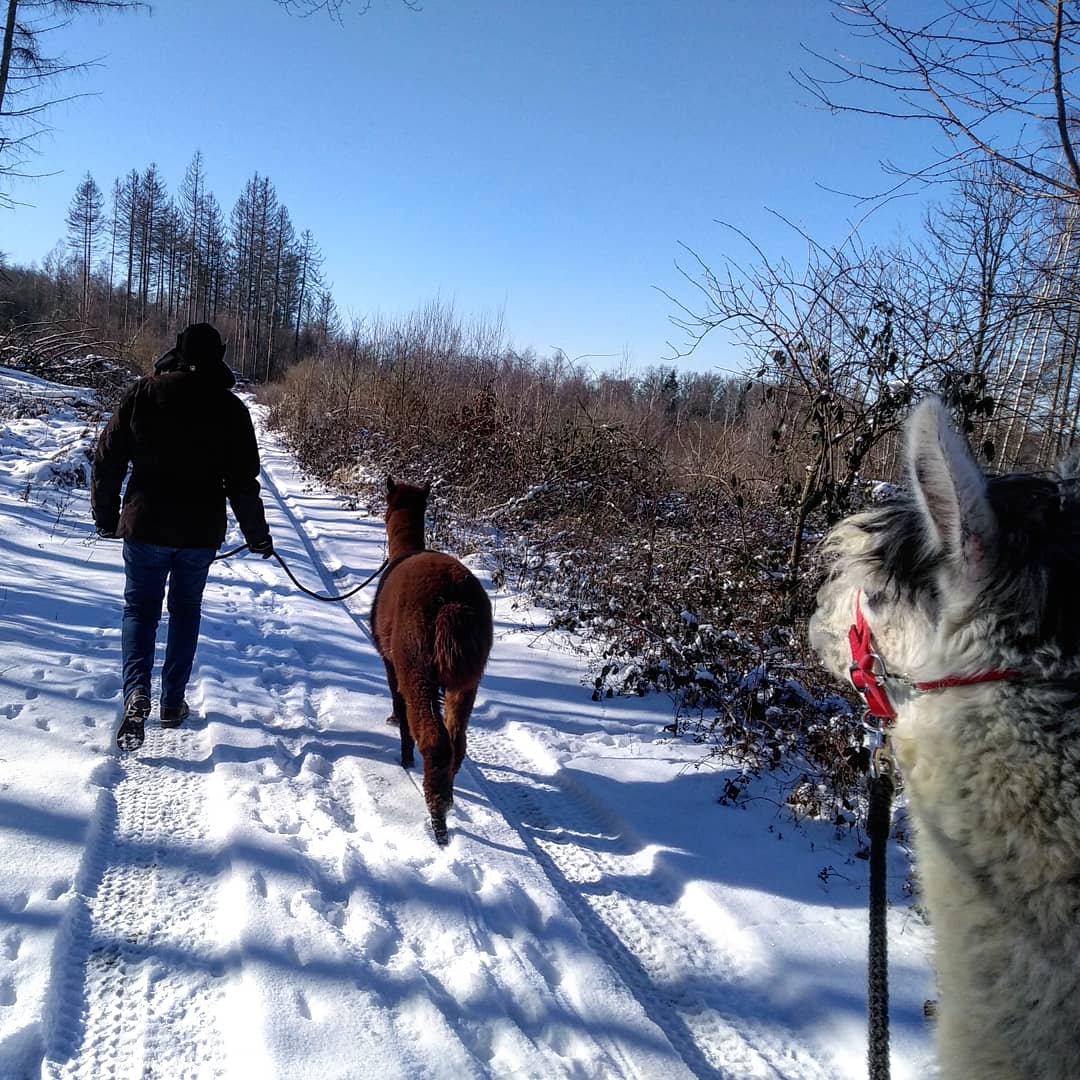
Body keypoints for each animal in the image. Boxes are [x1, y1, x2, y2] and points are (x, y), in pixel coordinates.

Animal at [370, 478, 493, 845]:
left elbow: (398, 702)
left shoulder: (391, 661)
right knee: (457, 741)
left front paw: (402, 748)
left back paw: (438, 818)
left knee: (434, 738)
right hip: (467, 680)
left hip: (417, 666)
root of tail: (453, 602)